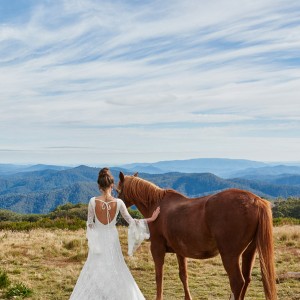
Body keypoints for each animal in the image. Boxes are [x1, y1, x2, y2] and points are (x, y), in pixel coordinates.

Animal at [117, 172, 276, 298]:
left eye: (118, 189)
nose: (118, 205)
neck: (157, 205)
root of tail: (256, 200)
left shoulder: (157, 249)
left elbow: (159, 276)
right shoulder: (180, 252)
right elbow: (183, 276)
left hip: (230, 256)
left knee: (237, 282)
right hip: (249, 251)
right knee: (247, 279)